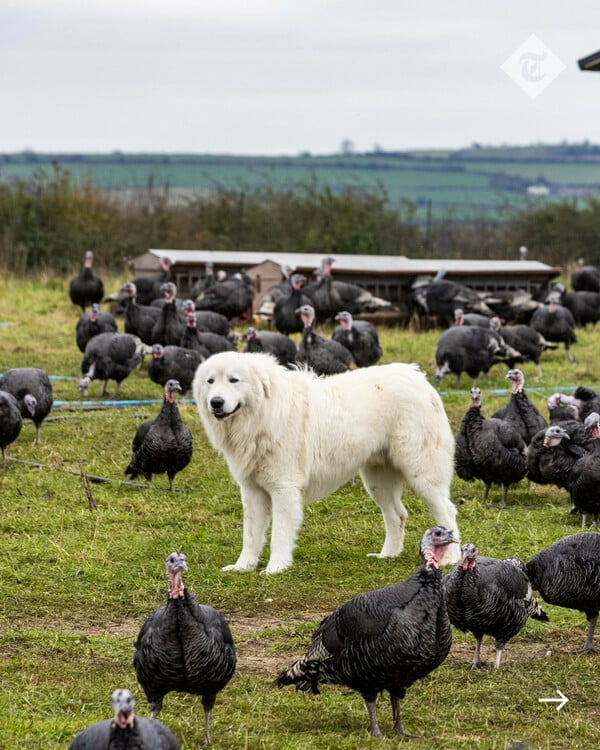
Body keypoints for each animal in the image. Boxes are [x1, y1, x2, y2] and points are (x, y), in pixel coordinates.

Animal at [192, 352, 460, 576]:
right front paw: (242, 567)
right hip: (376, 480)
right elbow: (250, 535)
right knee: (398, 515)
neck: (262, 415)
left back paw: (451, 559)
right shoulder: (252, 491)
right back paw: (388, 555)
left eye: (234, 380)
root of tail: (417, 377)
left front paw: (275, 568)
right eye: (210, 381)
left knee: (446, 512)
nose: (216, 402)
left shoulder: (284, 489)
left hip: (421, 474)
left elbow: (279, 533)